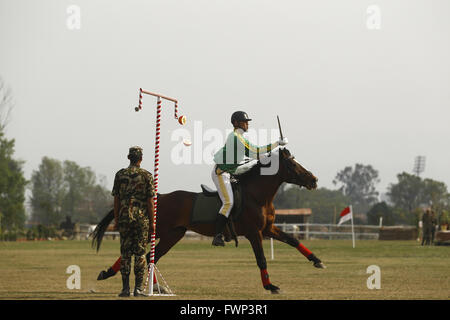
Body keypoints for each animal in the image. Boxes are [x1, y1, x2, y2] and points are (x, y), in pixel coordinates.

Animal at [92, 147, 324, 292]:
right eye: (293, 165)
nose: (314, 179)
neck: (258, 196)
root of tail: (161, 197)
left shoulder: (268, 229)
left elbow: (293, 240)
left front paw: (317, 260)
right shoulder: (254, 233)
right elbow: (262, 259)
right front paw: (270, 286)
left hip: (173, 235)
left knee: (152, 256)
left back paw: (155, 286)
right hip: (153, 230)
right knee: (141, 253)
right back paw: (109, 273)